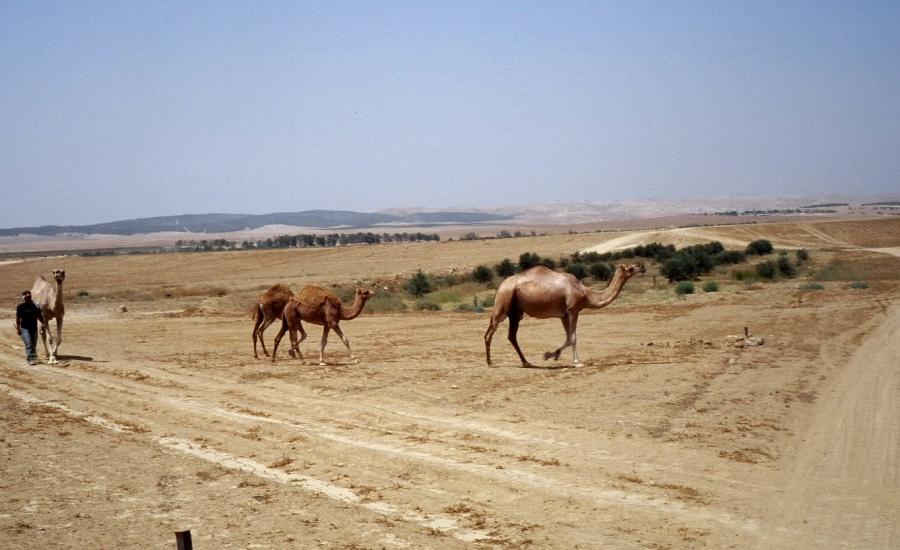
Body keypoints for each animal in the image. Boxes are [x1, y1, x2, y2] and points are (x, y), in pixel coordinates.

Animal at [486, 264, 648, 368]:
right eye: (631, 268)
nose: (642, 267)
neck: (586, 294)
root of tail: (501, 285)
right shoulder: (573, 311)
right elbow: (574, 338)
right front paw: (577, 362)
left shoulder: (563, 315)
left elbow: (569, 338)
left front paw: (551, 354)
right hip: (504, 302)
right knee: (491, 331)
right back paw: (490, 362)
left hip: (515, 312)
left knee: (510, 335)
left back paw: (526, 362)